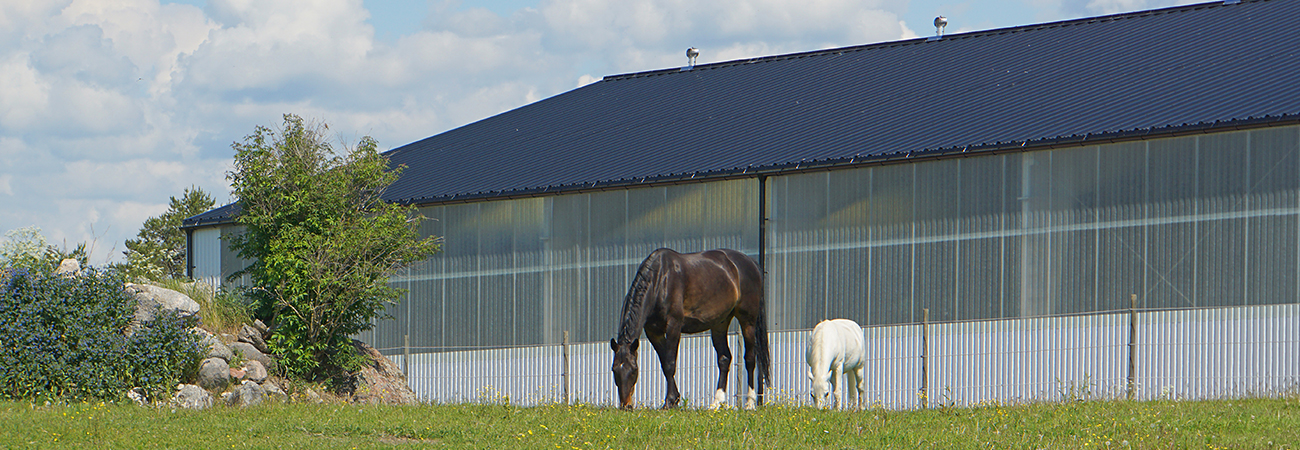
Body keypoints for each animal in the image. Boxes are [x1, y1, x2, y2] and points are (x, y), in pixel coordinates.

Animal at [611, 248, 769, 408]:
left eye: (634, 370)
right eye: (614, 370)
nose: (626, 405)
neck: (659, 281)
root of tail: (751, 263)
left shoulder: (674, 326)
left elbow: (670, 363)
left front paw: (670, 401)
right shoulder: (653, 332)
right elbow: (664, 362)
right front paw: (675, 398)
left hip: (748, 321)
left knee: (750, 358)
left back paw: (750, 403)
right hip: (720, 323)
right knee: (724, 358)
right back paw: (716, 403)